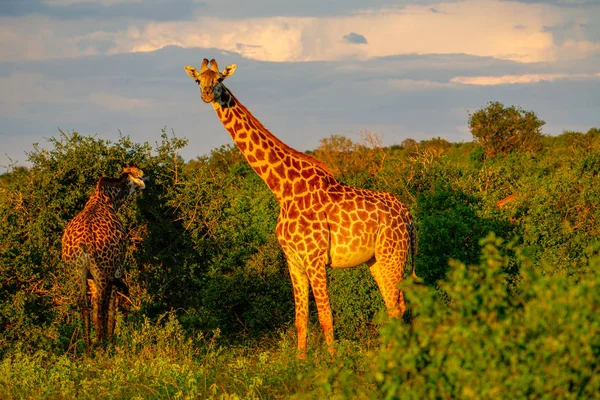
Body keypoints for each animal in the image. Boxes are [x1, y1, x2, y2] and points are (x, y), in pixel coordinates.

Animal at [61, 166, 146, 346]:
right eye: (137, 174)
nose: (144, 181)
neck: (108, 200)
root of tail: (84, 243)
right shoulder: (117, 269)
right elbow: (112, 308)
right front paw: (111, 342)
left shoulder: (90, 276)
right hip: (103, 273)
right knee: (102, 308)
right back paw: (102, 345)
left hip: (77, 273)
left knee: (84, 307)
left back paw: (88, 346)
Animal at [185, 59, 414, 356]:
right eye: (198, 80)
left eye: (220, 79)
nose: (206, 94)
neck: (283, 190)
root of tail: (407, 214)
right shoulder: (293, 259)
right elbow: (300, 317)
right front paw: (300, 361)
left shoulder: (314, 258)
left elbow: (326, 316)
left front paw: (333, 362)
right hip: (377, 260)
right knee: (394, 305)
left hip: (393, 255)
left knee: (396, 306)